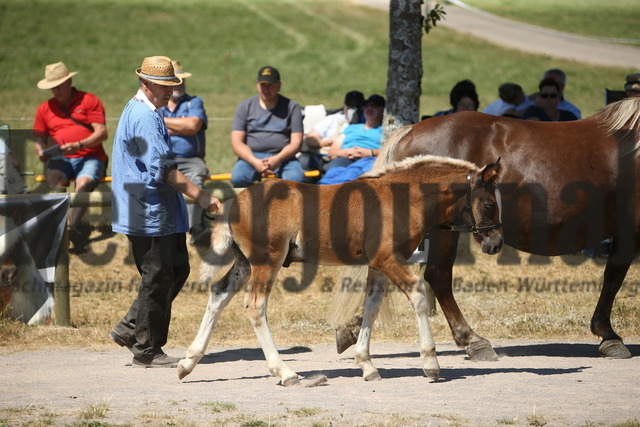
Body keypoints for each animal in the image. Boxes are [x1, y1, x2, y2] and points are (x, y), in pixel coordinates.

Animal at [178, 155, 502, 386]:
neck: (401, 199)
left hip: (245, 264)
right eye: (488, 203)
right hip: (266, 262)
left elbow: (371, 305)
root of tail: (233, 202)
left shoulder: (378, 264)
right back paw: (285, 372)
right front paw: (431, 365)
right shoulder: (389, 259)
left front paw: (367, 365)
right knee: (255, 306)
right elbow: (419, 296)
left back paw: (187, 362)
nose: (496, 243)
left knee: (219, 295)